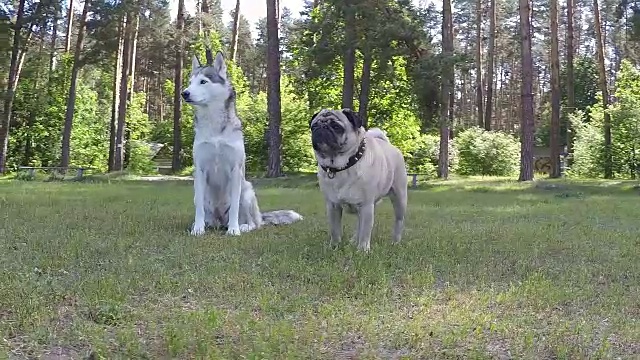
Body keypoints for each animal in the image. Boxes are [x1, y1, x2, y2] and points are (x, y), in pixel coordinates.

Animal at [180, 50, 300, 236]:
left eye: (203, 81)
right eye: (190, 83)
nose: (184, 93)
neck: (215, 126)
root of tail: (220, 221)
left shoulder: (235, 170)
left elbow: (235, 208)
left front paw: (234, 230)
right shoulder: (199, 170)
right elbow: (199, 207)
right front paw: (198, 229)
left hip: (247, 190)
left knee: (253, 222)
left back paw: (242, 226)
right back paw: (205, 224)